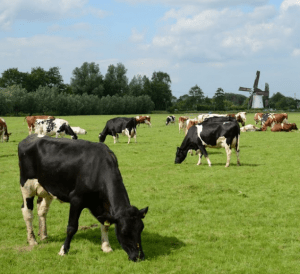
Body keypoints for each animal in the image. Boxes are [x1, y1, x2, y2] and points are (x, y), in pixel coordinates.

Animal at [18, 135, 148, 262]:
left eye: (141, 228)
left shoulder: (104, 205)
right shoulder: (76, 199)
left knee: (42, 211)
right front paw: (63, 250)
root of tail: (30, 137)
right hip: (27, 186)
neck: (98, 168)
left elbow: (105, 224)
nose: (139, 256)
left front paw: (106, 246)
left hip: (46, 188)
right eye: (124, 231)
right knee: (27, 212)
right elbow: (71, 227)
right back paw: (32, 240)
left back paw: (43, 235)